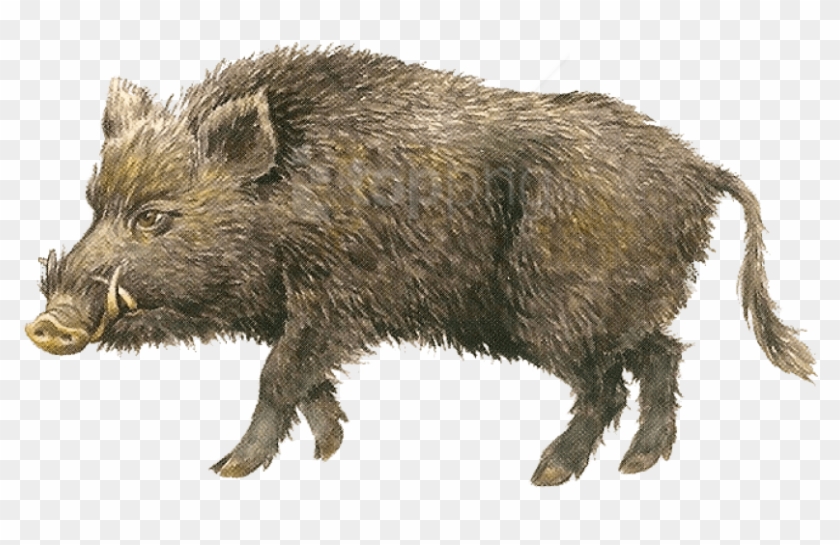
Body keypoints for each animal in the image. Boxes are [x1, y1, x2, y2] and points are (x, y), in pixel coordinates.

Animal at [25, 46, 815, 485]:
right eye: (95, 204)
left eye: (154, 217)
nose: (45, 324)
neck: (287, 203)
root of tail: (700, 168)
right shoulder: (296, 313)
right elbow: (305, 382)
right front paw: (328, 452)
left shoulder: (337, 303)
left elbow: (278, 375)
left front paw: (229, 469)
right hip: (610, 312)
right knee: (663, 353)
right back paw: (638, 465)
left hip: (559, 313)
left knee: (609, 382)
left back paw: (549, 474)